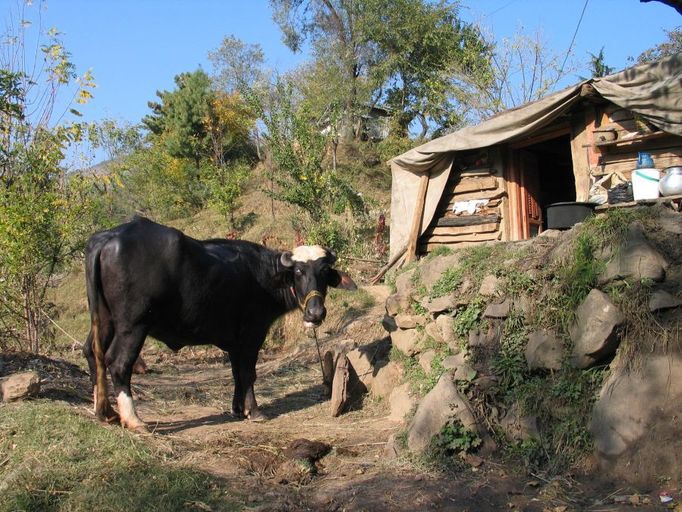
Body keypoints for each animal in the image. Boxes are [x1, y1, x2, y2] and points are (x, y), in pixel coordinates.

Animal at [83, 218, 356, 430]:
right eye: (299, 272)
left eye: (324, 272)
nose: (315, 312)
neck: (263, 276)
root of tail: (110, 237)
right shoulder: (253, 335)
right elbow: (248, 373)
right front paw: (254, 411)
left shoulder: (234, 342)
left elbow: (236, 373)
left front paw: (237, 409)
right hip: (134, 325)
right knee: (118, 362)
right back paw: (134, 420)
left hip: (103, 319)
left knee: (92, 352)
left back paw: (105, 412)